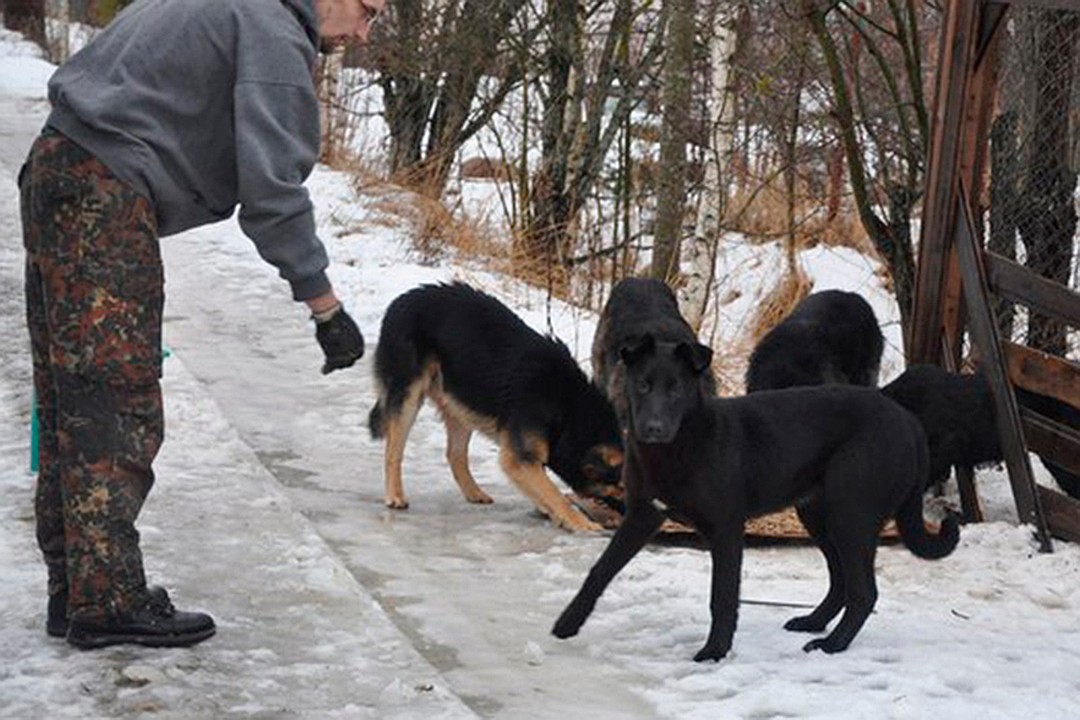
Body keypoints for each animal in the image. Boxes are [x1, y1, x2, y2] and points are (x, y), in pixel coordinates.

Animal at [371, 284, 626, 533]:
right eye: (623, 487)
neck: (570, 409)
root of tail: (401, 301)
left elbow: (543, 488)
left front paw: (551, 512)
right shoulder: (518, 457)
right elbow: (555, 494)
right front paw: (580, 522)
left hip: (461, 401)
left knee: (455, 454)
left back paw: (474, 493)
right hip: (409, 397)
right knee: (393, 451)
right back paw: (395, 495)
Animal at [552, 334, 959, 660]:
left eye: (677, 389)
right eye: (643, 386)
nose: (654, 429)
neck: (678, 448)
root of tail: (909, 421)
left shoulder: (726, 529)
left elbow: (722, 596)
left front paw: (715, 652)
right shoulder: (642, 516)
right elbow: (600, 570)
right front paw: (567, 622)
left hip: (851, 514)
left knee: (863, 592)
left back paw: (831, 645)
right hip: (819, 515)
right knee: (842, 582)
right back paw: (813, 622)